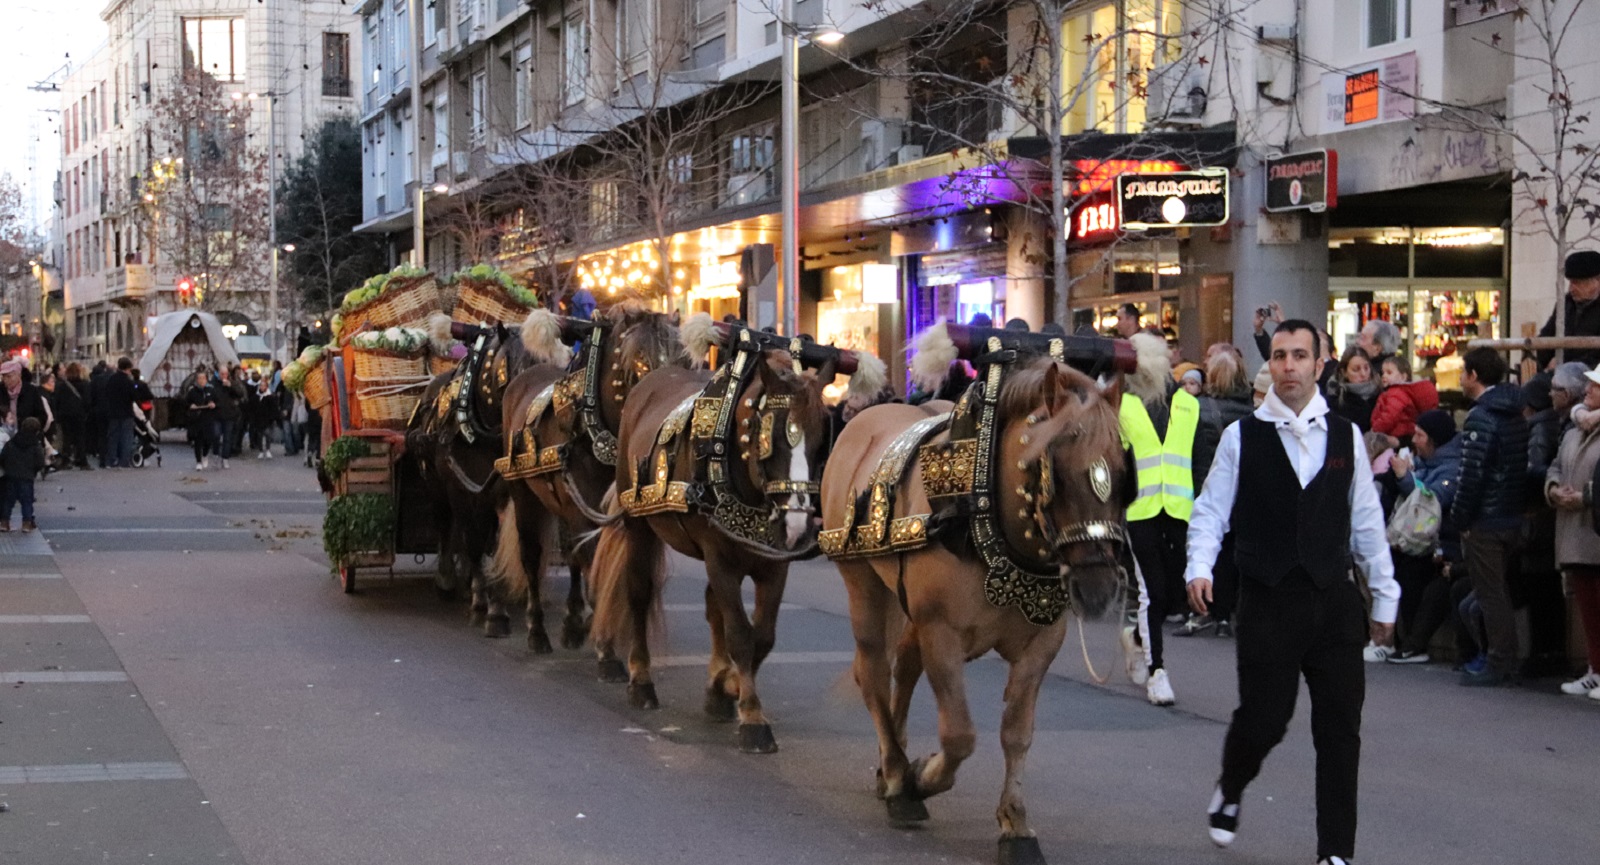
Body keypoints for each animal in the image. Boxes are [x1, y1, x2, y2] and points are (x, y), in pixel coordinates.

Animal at [486, 300, 688, 652]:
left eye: (684, 361)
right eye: (637, 361)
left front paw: (592, 625)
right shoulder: (582, 504)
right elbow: (591, 558)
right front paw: (605, 646)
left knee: (570, 553)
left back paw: (571, 622)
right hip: (523, 492)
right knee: (531, 553)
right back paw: (535, 630)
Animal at [588, 313, 889, 751]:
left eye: (822, 439)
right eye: (769, 436)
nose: (797, 523)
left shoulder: (774, 565)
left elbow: (761, 636)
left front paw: (726, 687)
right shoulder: (721, 559)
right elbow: (740, 635)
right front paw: (752, 717)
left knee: (712, 608)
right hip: (638, 522)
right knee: (639, 593)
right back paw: (640, 680)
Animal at [825, 322, 1139, 863]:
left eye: (1122, 476)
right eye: (1054, 470)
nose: (1098, 589)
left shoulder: (1040, 645)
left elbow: (1016, 733)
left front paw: (1015, 823)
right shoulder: (942, 634)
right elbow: (959, 735)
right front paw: (921, 780)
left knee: (902, 670)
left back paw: (894, 763)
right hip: (863, 586)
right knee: (874, 674)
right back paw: (896, 772)